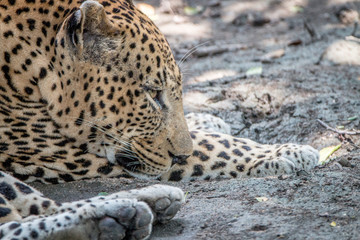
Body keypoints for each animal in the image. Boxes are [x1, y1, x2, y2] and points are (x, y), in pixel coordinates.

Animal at [0, 0, 320, 238]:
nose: (180, 155)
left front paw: (207, 119)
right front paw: (286, 151)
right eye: (153, 93)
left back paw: (144, 204)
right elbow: (212, 147)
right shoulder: (66, 150)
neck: (31, 67)